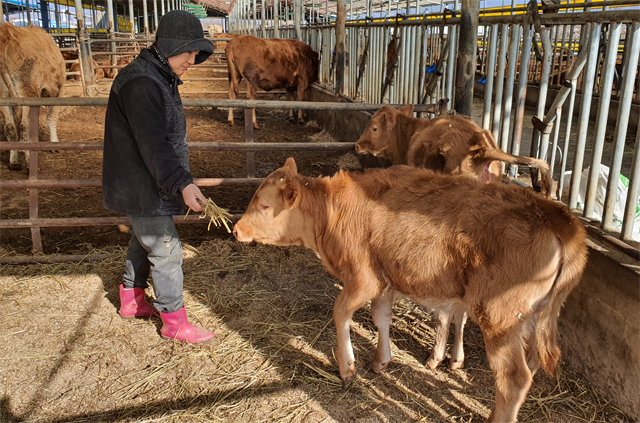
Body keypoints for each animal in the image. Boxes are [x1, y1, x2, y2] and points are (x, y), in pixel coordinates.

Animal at [0, 24, 66, 170]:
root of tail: (5, 34)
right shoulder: (58, 91)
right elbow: (51, 118)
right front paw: (54, 145)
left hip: (4, 95)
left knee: (10, 127)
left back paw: (14, 162)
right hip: (28, 93)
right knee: (25, 126)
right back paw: (29, 163)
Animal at [234, 158, 584, 423]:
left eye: (264, 205)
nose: (236, 229)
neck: (333, 211)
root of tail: (559, 218)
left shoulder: (363, 278)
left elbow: (340, 313)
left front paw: (348, 368)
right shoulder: (386, 279)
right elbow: (381, 318)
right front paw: (381, 361)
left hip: (499, 316)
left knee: (513, 377)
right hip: (531, 317)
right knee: (531, 365)